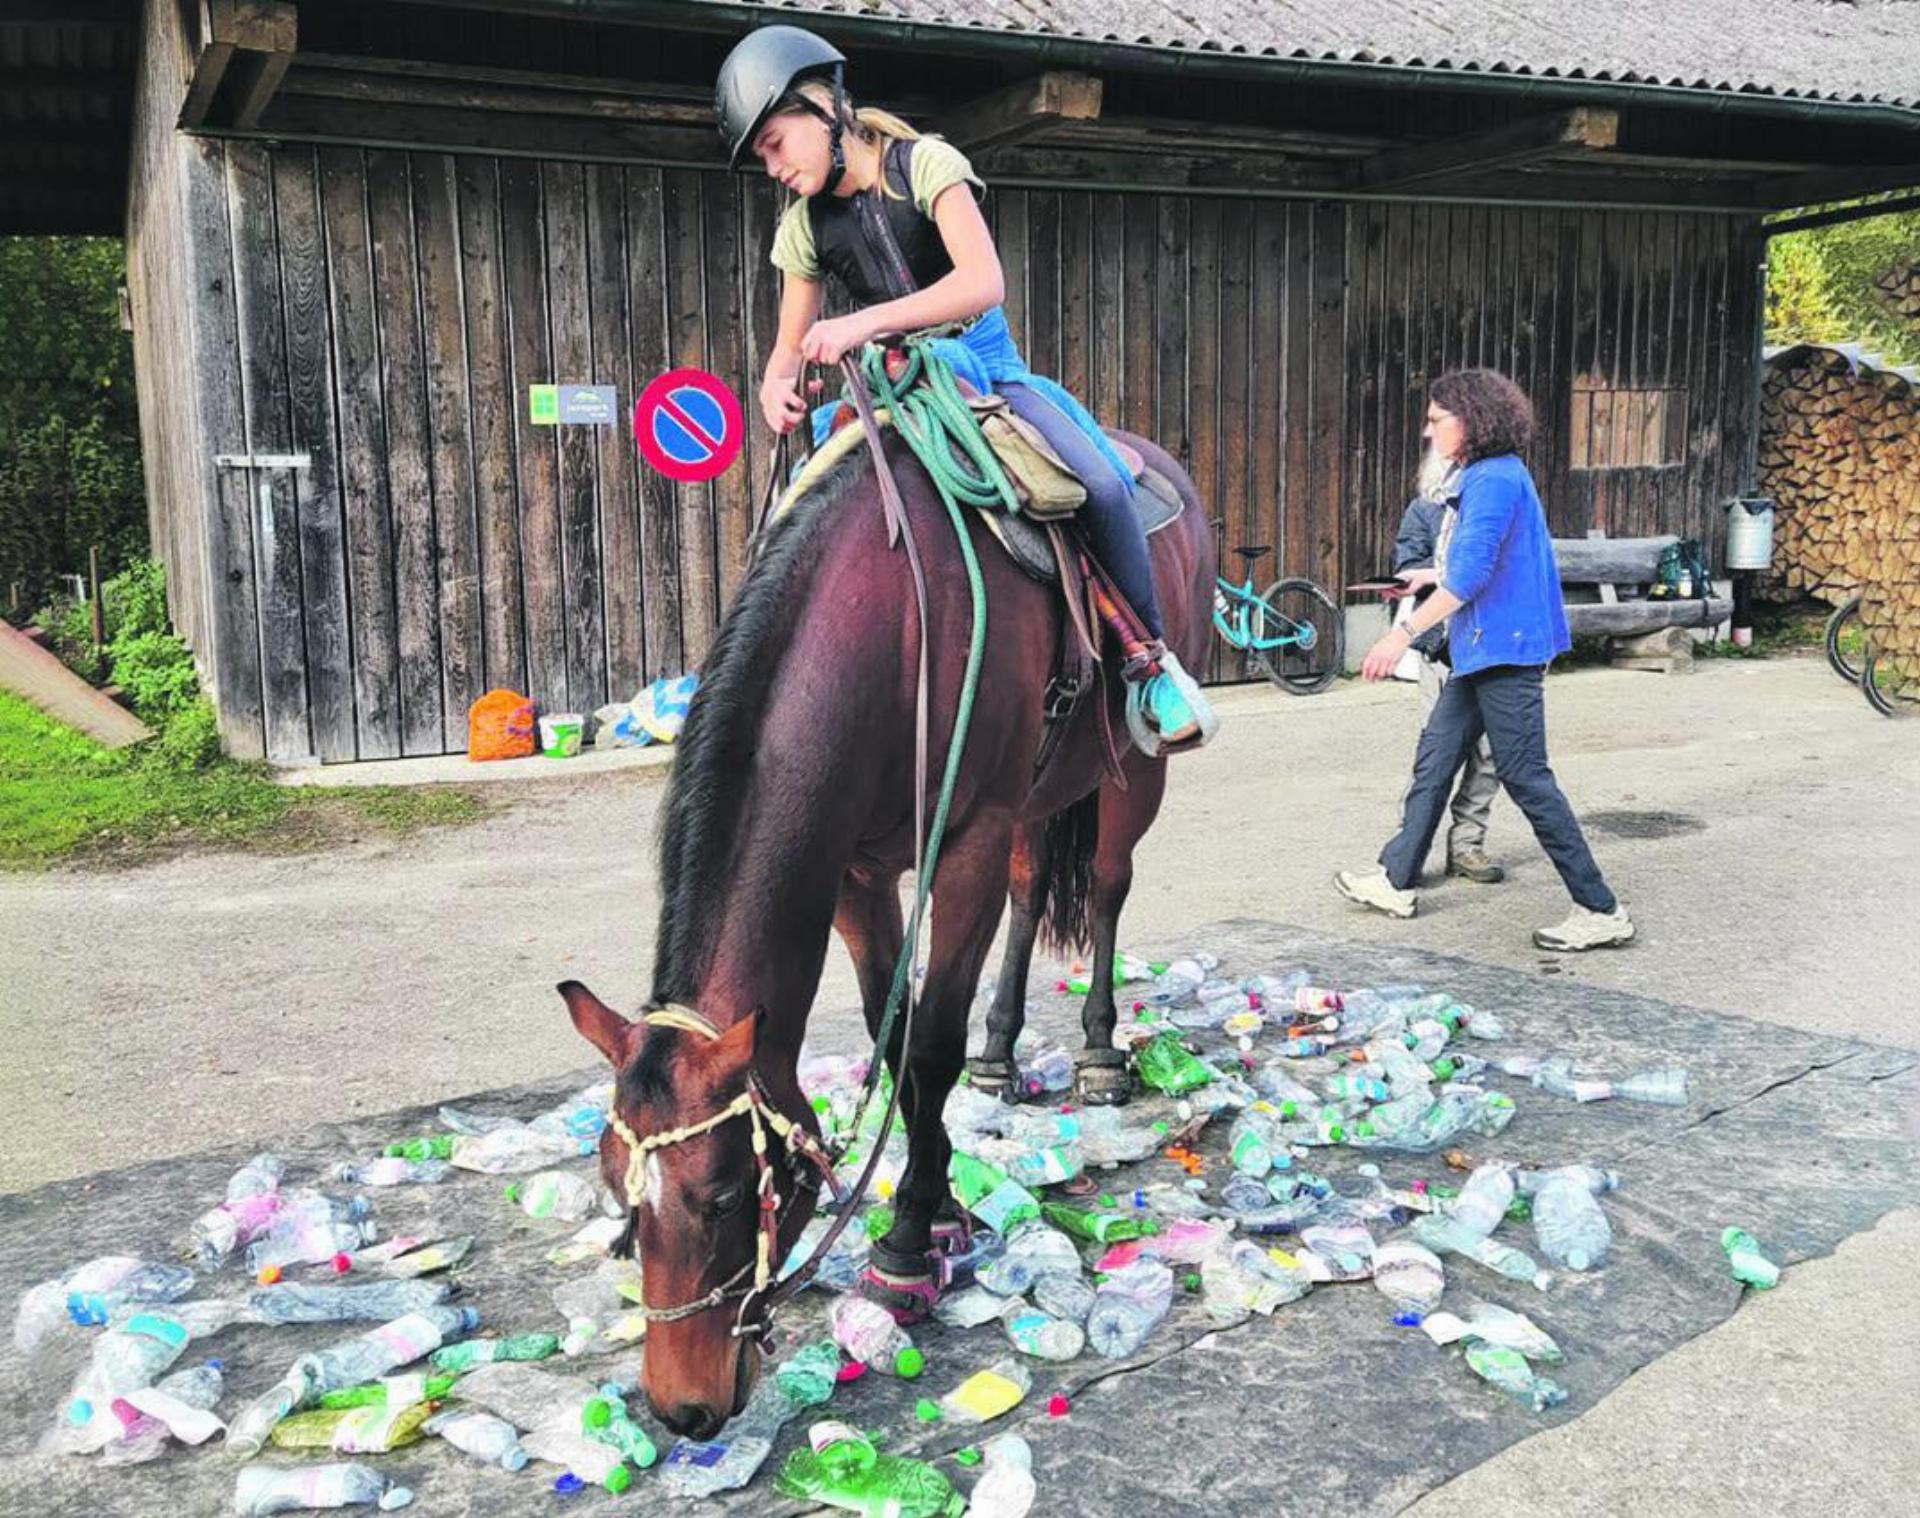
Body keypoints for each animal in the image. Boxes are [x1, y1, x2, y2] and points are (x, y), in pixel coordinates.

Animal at [560, 424, 1213, 1435]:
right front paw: (940, 1204)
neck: (893, 631)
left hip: (1130, 773)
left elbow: (929, 1047)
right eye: (608, 1175)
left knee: (1105, 889)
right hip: (1042, 794)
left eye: (725, 1194)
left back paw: (1103, 1050)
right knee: (1034, 889)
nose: (681, 1411)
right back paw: (1002, 1052)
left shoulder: (965, 842)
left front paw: (907, 1243)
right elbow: (894, 1035)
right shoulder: (858, 872)